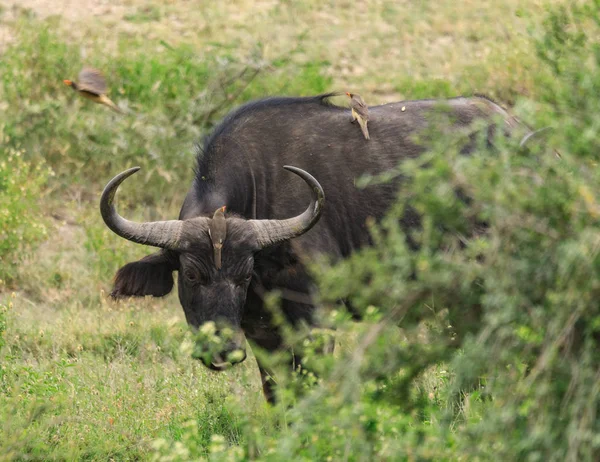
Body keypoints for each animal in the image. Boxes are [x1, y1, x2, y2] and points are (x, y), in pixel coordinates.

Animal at [101, 93, 516, 400]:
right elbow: (276, 393)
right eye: (190, 274)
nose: (224, 352)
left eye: (244, 274)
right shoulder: (260, 334)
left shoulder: (315, 324)